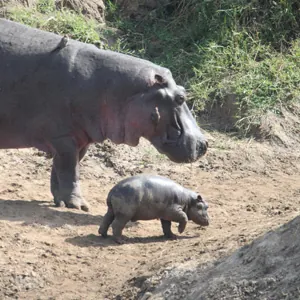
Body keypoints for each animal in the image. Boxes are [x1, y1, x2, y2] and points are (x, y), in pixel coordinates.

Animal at [0, 18, 207, 211]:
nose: (204, 144)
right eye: (180, 98)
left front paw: (61, 201)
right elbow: (69, 170)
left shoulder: (80, 137)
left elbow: (62, 170)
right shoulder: (63, 137)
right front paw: (80, 205)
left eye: (183, 90)